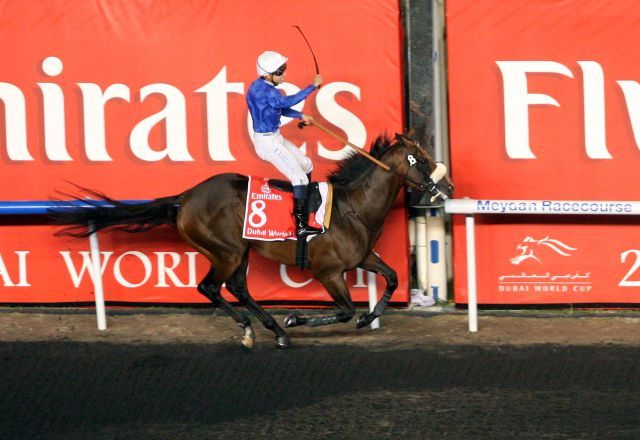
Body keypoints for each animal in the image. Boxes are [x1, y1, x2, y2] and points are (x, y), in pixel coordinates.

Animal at [53, 132, 456, 348]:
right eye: (420, 158)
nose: (449, 187)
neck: (352, 207)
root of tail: (185, 197)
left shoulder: (362, 258)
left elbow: (392, 278)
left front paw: (370, 317)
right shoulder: (328, 271)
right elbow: (344, 310)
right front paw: (296, 317)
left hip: (240, 250)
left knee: (237, 287)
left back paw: (272, 330)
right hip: (226, 250)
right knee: (210, 287)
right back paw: (255, 329)